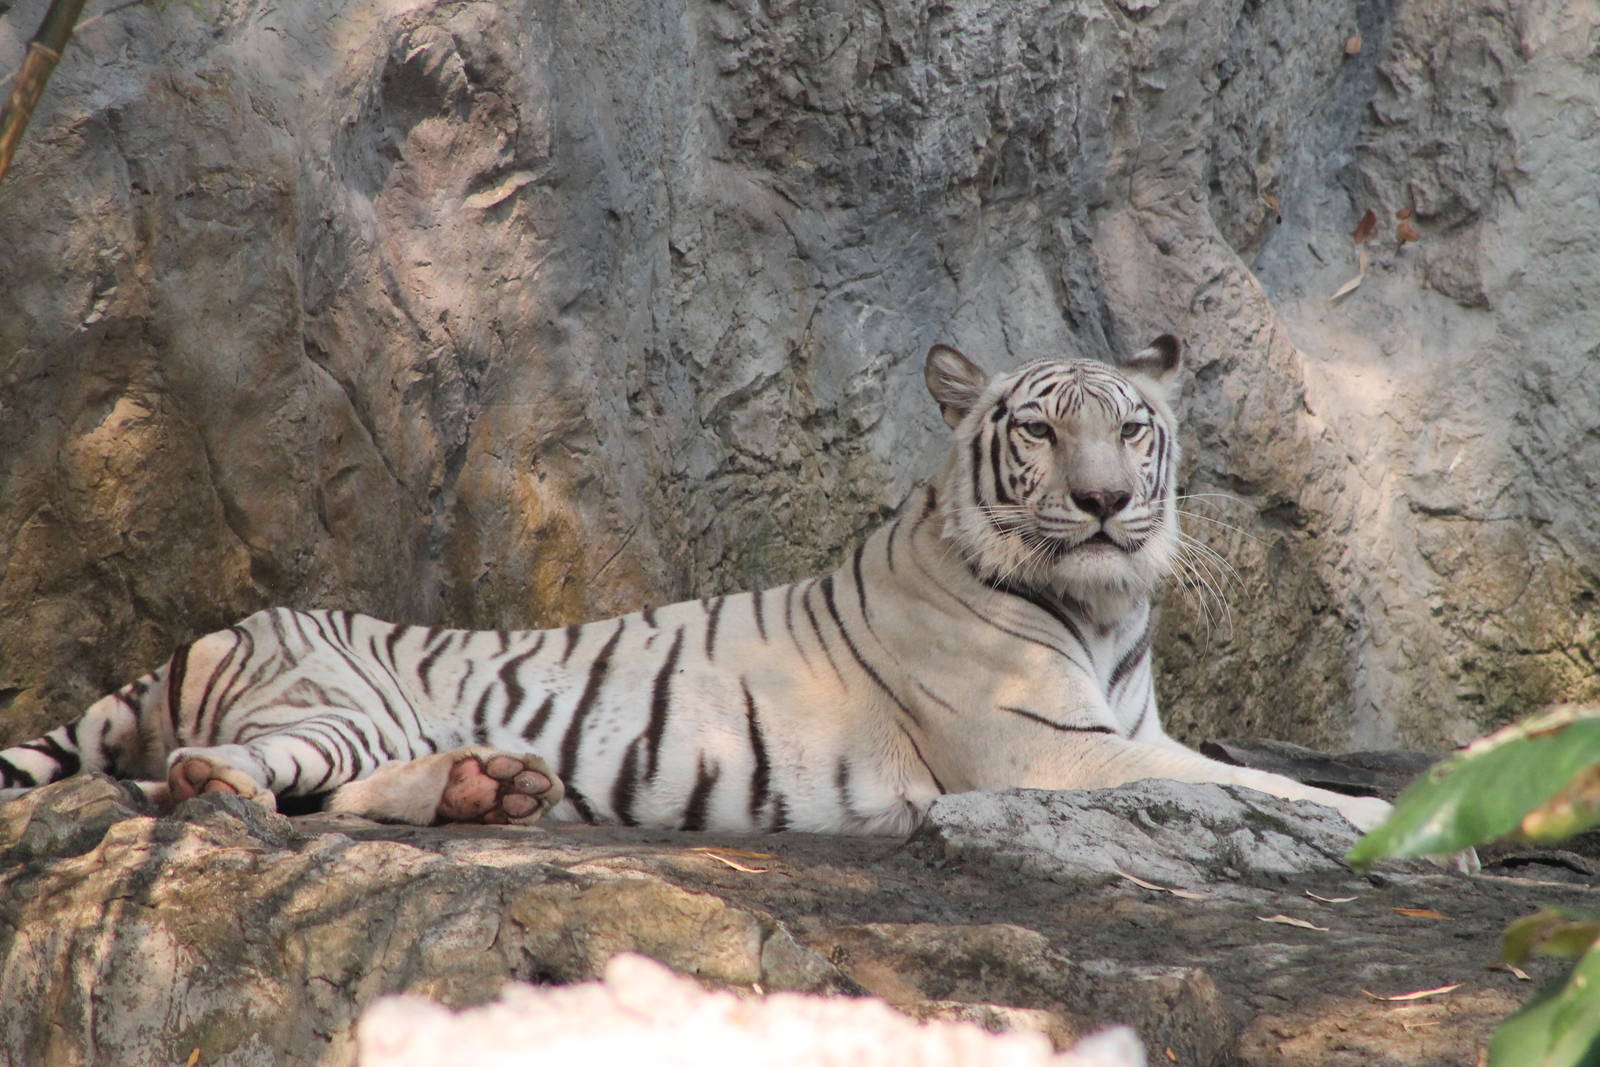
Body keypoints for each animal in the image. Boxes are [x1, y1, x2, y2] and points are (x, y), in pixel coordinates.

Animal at [0, 336, 1393, 836]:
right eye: (1044, 431)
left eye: (1134, 427)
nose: (1104, 503)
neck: (1106, 609)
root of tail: (218, 630)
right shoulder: (1044, 749)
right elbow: (1248, 782)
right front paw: (1394, 813)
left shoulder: (1118, 726)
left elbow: (1230, 768)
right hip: (329, 700)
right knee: (223, 775)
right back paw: (228, 788)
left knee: (338, 796)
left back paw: (489, 787)